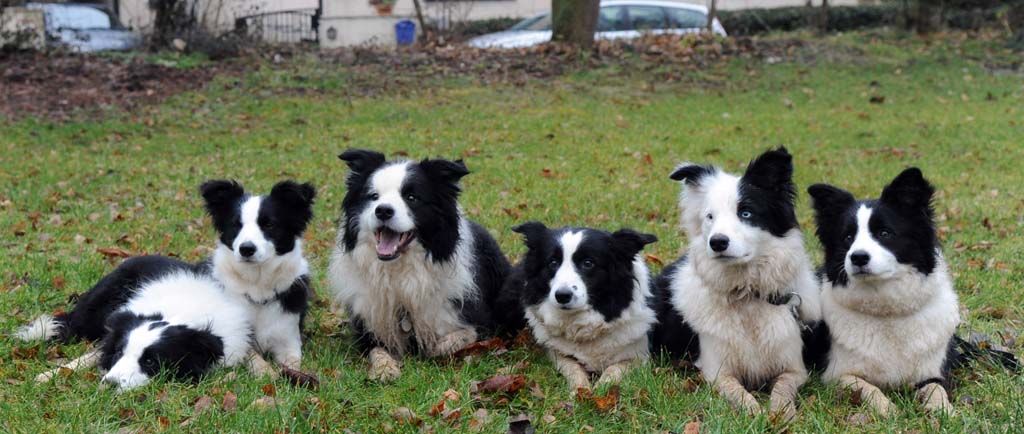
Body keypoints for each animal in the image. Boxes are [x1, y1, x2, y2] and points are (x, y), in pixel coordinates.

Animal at [14, 180, 311, 386]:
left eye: (269, 225)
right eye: (236, 226)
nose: (246, 249)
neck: (257, 290)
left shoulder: (287, 341)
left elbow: (291, 363)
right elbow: (92, 354)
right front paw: (52, 374)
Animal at [327, 150, 516, 380]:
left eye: (411, 198)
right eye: (373, 197)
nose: (383, 211)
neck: (400, 271)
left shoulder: (482, 322)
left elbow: (459, 337)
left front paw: (434, 347)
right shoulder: (368, 328)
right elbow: (377, 350)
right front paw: (384, 368)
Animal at [651, 146, 819, 419]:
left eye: (746, 213)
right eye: (710, 217)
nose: (717, 242)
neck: (747, 294)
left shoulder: (795, 368)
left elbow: (783, 388)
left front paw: (781, 413)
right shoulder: (717, 371)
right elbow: (739, 392)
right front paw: (757, 414)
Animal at [806, 167, 958, 415]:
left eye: (885, 233)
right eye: (848, 237)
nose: (858, 257)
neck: (887, 312)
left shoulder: (933, 372)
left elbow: (936, 390)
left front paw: (942, 411)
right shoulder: (836, 374)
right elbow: (867, 387)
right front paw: (889, 410)